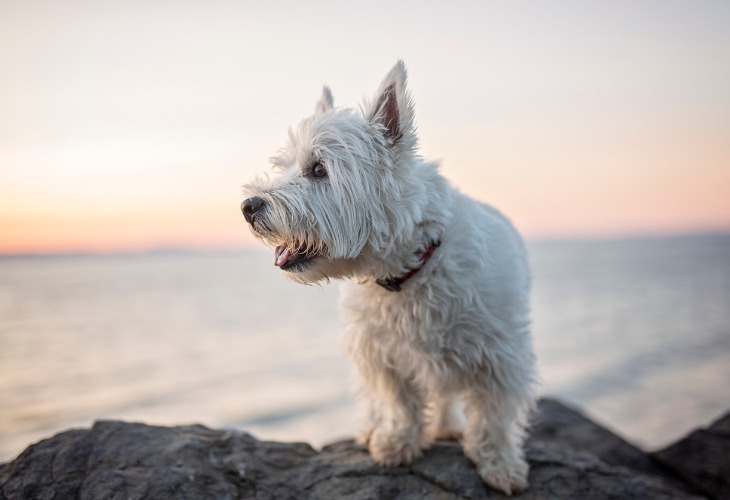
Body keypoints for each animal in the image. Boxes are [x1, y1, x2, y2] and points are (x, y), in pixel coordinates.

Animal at [242, 60, 536, 494]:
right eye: (286, 165)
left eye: (318, 169)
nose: (248, 206)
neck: (406, 274)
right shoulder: (379, 351)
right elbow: (397, 401)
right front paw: (396, 442)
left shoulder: (499, 355)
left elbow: (493, 415)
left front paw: (499, 463)